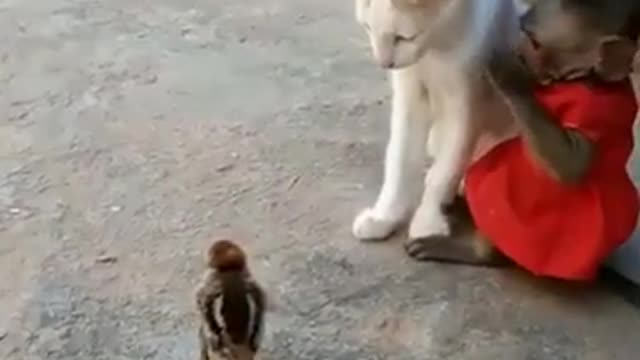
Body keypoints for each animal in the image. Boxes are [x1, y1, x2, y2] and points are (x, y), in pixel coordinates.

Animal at [408, 0, 636, 282]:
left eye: (535, 42)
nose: (519, 50)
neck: (583, 78)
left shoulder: (595, 108)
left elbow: (572, 165)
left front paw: (509, 75)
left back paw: (478, 251)